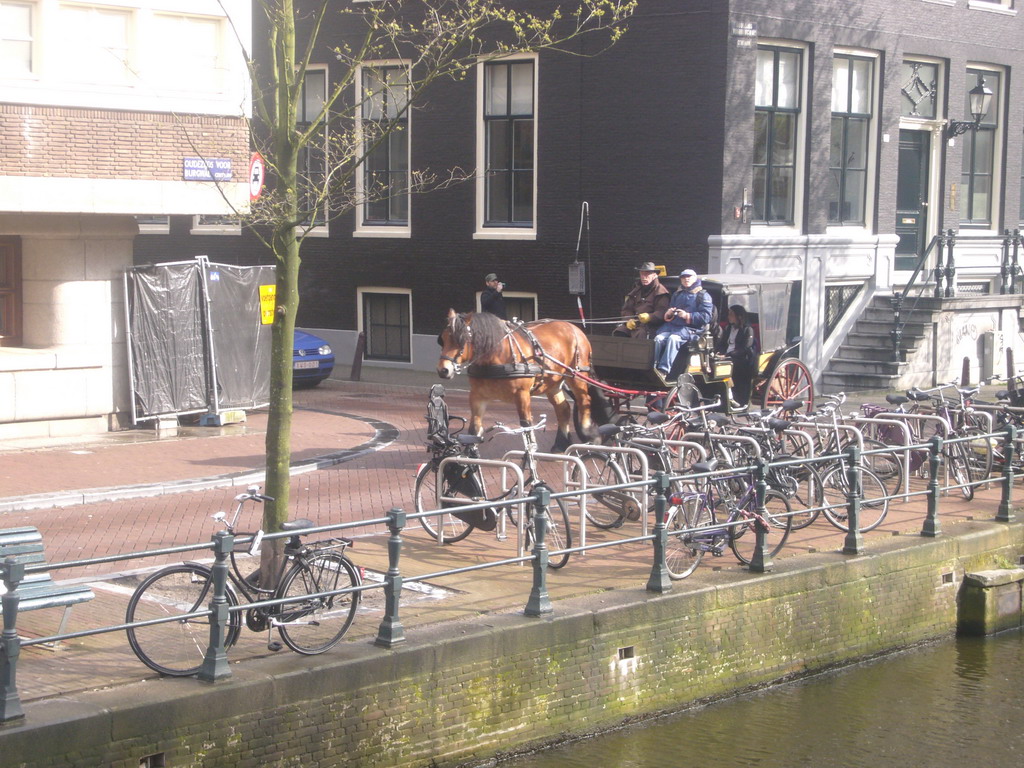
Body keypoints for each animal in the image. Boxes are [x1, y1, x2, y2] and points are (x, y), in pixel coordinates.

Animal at [436, 311, 598, 450]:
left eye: (462, 340)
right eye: (443, 339)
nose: (443, 370)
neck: (498, 355)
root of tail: (574, 328)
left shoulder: (522, 394)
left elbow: (526, 425)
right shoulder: (477, 396)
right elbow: (474, 428)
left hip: (577, 376)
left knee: (585, 400)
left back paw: (589, 433)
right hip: (553, 383)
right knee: (563, 409)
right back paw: (560, 445)